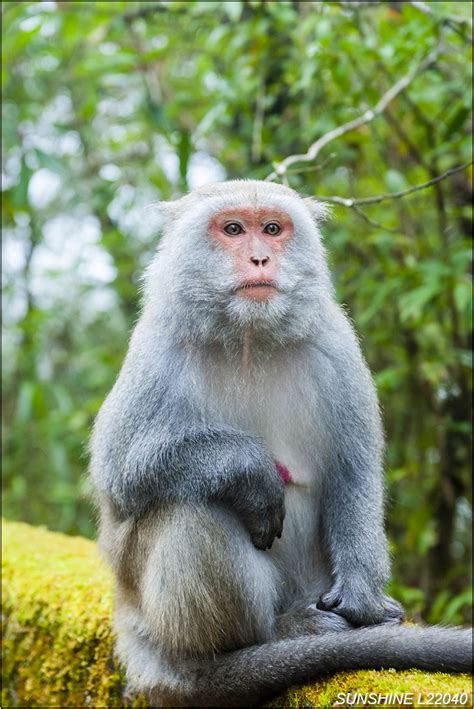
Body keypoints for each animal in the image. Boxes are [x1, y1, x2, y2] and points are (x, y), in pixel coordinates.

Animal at [90, 180, 474, 704]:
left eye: (272, 228)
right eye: (234, 229)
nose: (260, 258)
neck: (249, 336)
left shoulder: (336, 344)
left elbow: (353, 472)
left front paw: (363, 596)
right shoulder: (157, 348)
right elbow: (121, 470)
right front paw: (250, 469)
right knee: (190, 507)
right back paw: (266, 638)